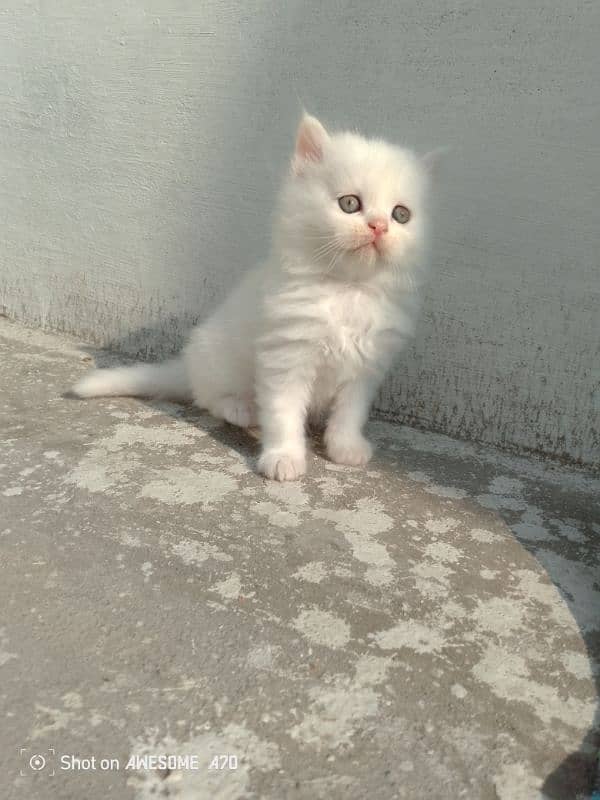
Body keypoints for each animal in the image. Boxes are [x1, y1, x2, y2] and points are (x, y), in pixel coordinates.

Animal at [72, 115, 434, 478]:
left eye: (400, 215)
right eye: (349, 204)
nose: (378, 227)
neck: (348, 290)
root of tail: (187, 366)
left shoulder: (365, 367)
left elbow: (349, 413)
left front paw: (345, 447)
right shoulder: (285, 356)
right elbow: (282, 413)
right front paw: (283, 457)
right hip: (216, 356)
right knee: (208, 396)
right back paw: (239, 408)